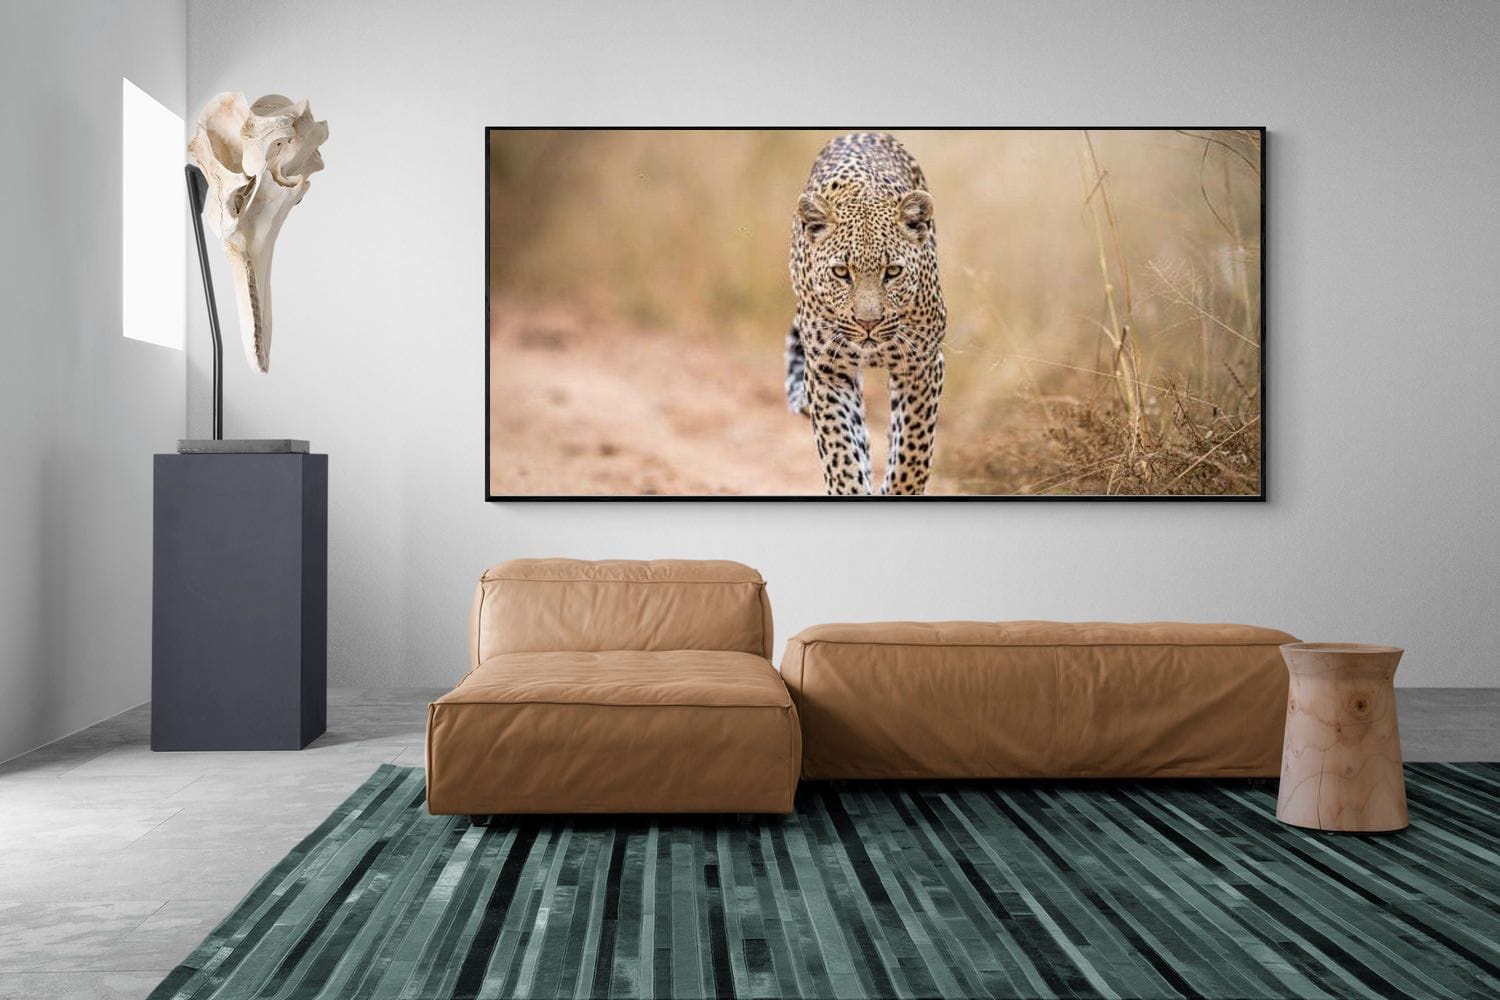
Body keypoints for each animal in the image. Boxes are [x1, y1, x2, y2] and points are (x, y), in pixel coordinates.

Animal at [785, 131, 947, 496]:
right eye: (841, 272)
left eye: (893, 272)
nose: (868, 323)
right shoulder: (828, 371)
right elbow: (841, 450)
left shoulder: (922, 366)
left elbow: (911, 453)